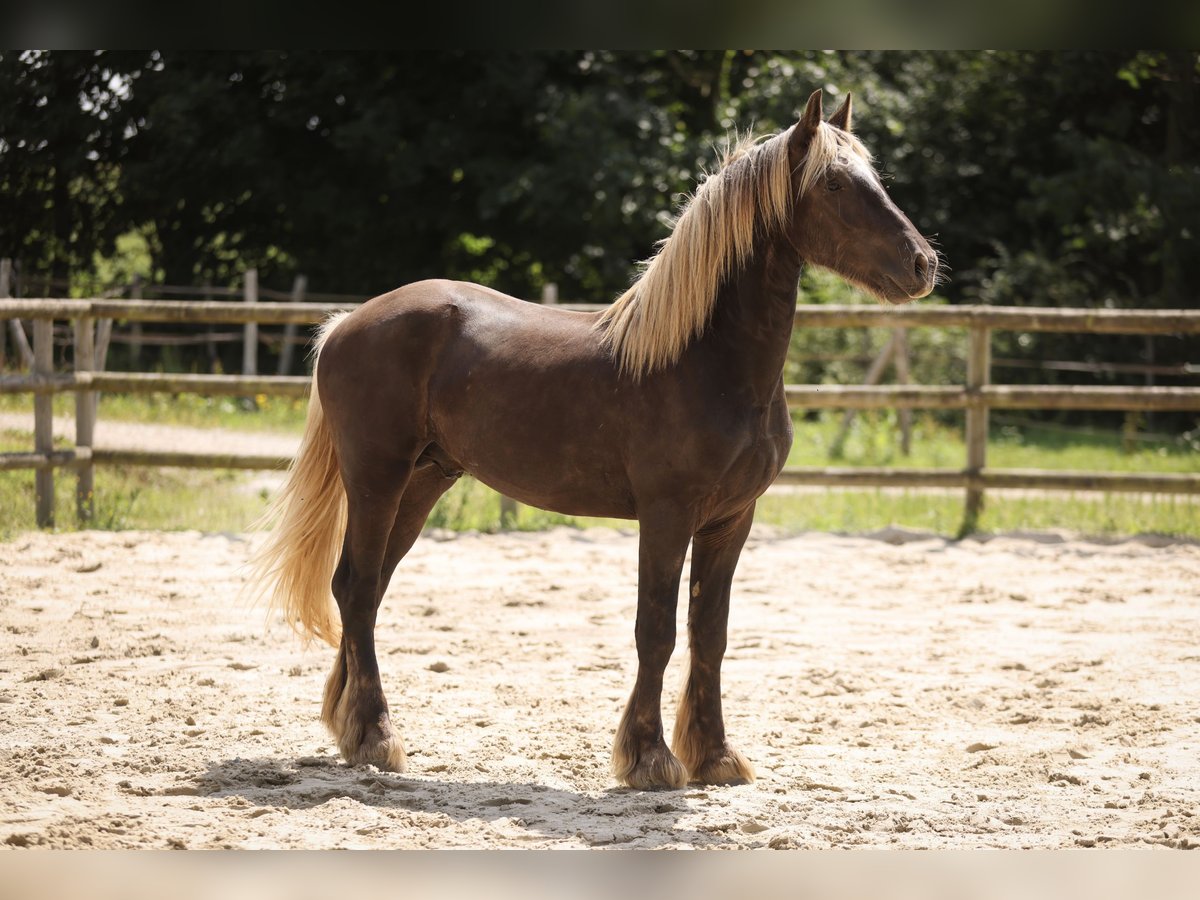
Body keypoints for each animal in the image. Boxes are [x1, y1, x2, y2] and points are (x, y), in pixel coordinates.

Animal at [246, 91, 936, 792]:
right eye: (833, 183)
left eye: (876, 177)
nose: (923, 264)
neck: (706, 362)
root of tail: (345, 324)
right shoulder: (667, 515)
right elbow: (656, 630)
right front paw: (651, 758)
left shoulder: (732, 520)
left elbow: (709, 634)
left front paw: (715, 755)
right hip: (377, 477)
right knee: (357, 589)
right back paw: (376, 737)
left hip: (423, 482)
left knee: (366, 591)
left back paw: (349, 728)